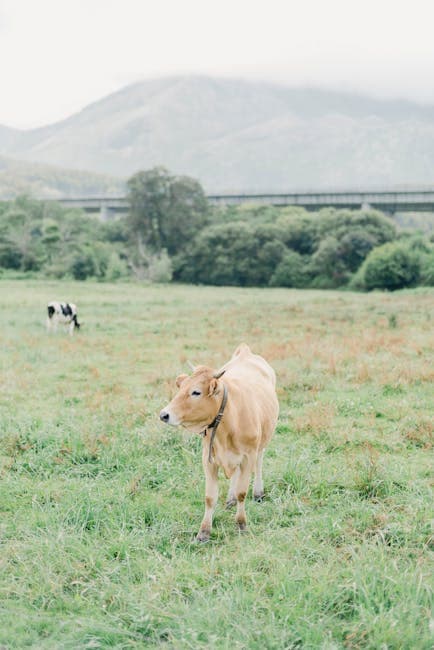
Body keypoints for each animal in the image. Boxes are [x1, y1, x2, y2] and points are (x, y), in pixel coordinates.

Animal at [159, 342, 278, 540]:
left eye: (196, 392)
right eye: (180, 389)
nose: (164, 415)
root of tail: (245, 352)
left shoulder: (248, 456)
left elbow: (242, 492)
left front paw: (241, 524)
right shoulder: (209, 459)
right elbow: (210, 497)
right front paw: (204, 532)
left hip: (261, 443)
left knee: (259, 463)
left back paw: (258, 493)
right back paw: (230, 499)